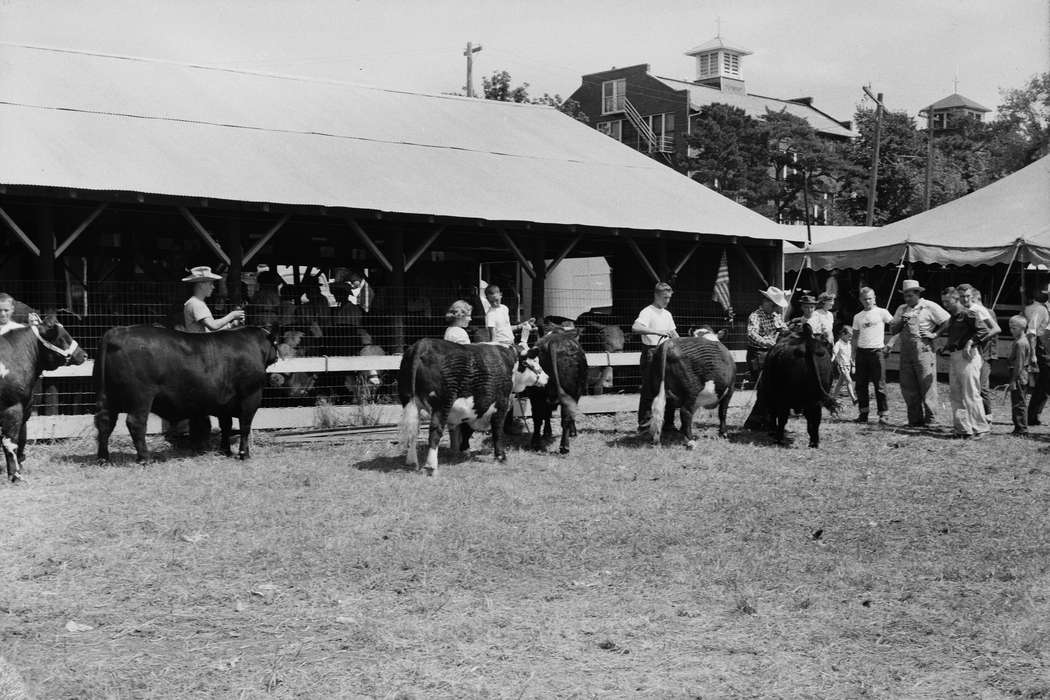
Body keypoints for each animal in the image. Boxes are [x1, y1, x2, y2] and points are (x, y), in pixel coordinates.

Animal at [0, 316, 87, 482]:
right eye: (62, 337)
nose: (84, 354)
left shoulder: (25, 406)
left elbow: (20, 437)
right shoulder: (12, 407)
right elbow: (10, 441)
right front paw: (15, 475)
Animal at [94, 326, 278, 463]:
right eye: (275, 343)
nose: (277, 356)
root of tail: (116, 332)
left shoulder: (224, 403)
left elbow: (226, 426)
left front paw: (225, 450)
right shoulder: (251, 396)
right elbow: (244, 426)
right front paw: (244, 454)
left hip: (106, 397)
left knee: (105, 422)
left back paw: (103, 458)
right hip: (141, 397)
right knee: (136, 423)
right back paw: (145, 458)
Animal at [398, 339, 548, 475]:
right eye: (535, 361)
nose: (547, 377)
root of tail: (422, 344)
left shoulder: (475, 407)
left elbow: (467, 429)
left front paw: (464, 450)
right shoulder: (501, 405)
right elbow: (497, 431)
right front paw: (501, 456)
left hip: (409, 402)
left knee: (413, 432)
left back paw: (411, 462)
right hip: (441, 405)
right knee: (435, 431)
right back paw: (431, 467)